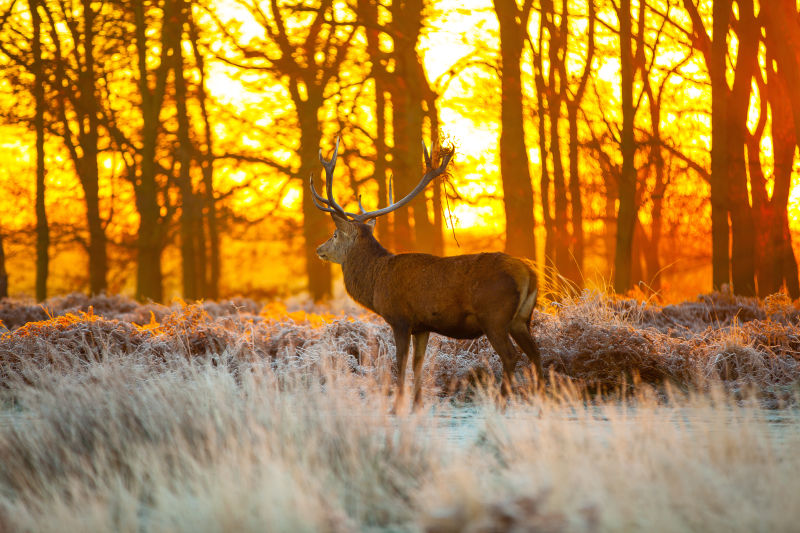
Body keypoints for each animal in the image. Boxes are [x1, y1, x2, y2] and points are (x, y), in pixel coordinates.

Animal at [308, 138, 544, 412]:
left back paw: (501, 402)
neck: (376, 281)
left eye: (335, 235)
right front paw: (417, 404)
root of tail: (528, 272)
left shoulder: (399, 318)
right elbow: (418, 362)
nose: (319, 249)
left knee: (511, 355)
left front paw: (396, 406)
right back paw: (542, 399)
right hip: (522, 318)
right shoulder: (422, 325)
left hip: (494, 316)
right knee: (536, 353)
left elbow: (400, 362)